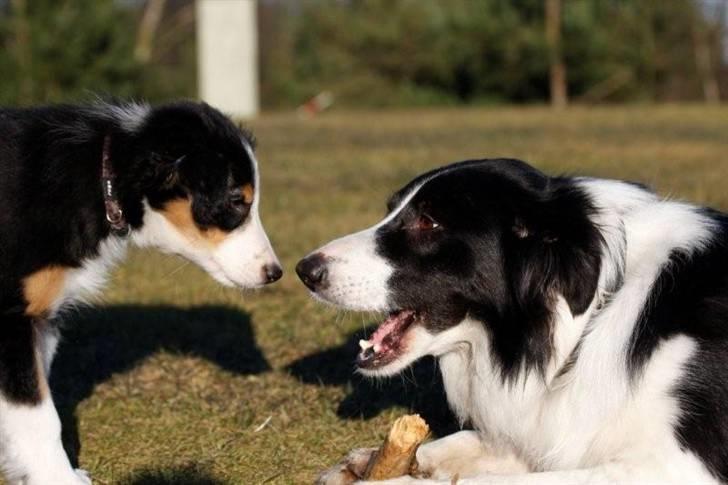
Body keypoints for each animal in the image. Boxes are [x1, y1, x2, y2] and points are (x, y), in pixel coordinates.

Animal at [0, 100, 282, 482]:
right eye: (237, 200)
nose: (275, 273)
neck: (101, 178)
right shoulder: (11, 321)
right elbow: (38, 415)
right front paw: (60, 478)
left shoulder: (41, 316)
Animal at [298, 160, 728, 484]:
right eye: (391, 209)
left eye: (428, 222)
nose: (304, 270)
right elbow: (467, 442)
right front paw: (368, 461)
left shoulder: (676, 467)